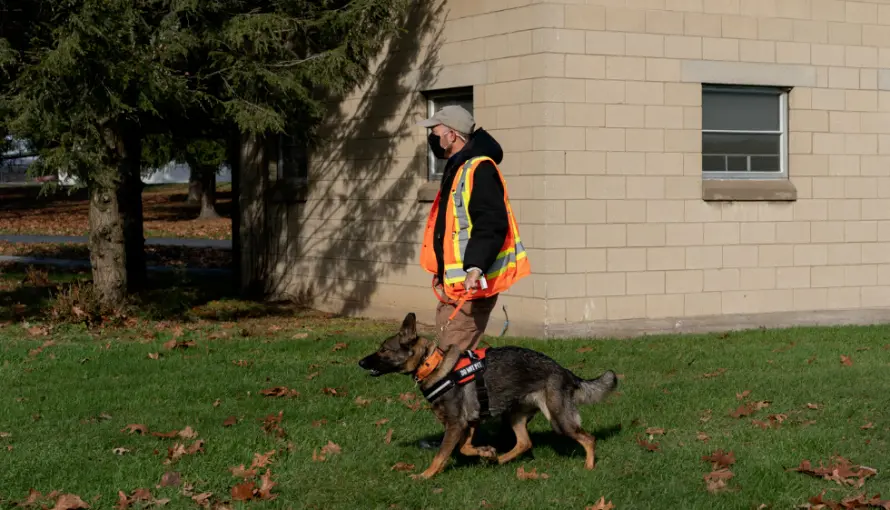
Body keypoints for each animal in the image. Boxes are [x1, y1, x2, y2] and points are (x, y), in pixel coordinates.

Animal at [356, 312, 616, 480]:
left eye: (383, 350)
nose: (360, 362)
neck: (433, 366)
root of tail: (565, 371)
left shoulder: (456, 424)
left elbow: (441, 455)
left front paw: (425, 475)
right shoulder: (469, 423)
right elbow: (465, 448)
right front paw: (486, 452)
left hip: (559, 419)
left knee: (589, 439)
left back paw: (589, 467)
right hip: (514, 416)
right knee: (524, 442)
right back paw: (498, 460)